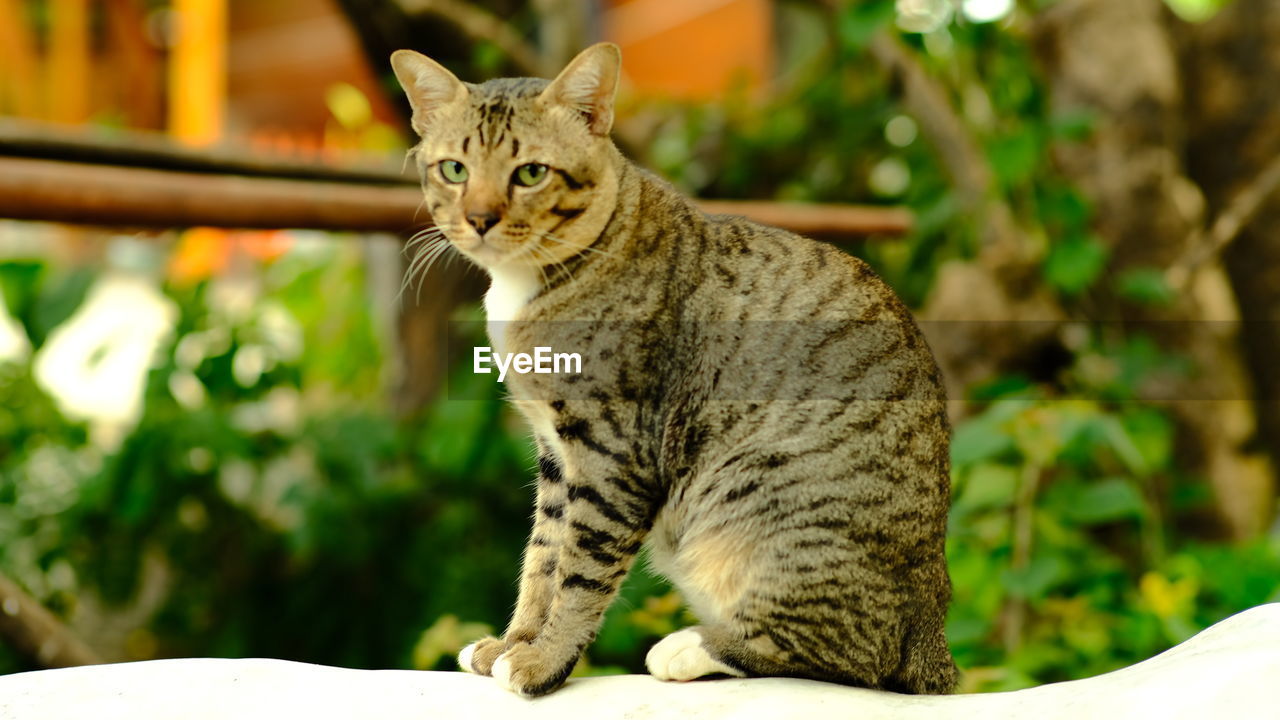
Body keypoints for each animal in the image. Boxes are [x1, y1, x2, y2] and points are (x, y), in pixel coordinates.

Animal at [389, 41, 962, 691]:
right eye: (454, 170)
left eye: (531, 173)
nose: (480, 218)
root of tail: (932, 633)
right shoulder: (556, 454)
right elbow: (543, 556)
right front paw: (516, 642)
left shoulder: (612, 453)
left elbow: (579, 570)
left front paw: (542, 659)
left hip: (754, 491)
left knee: (855, 655)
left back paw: (693, 646)